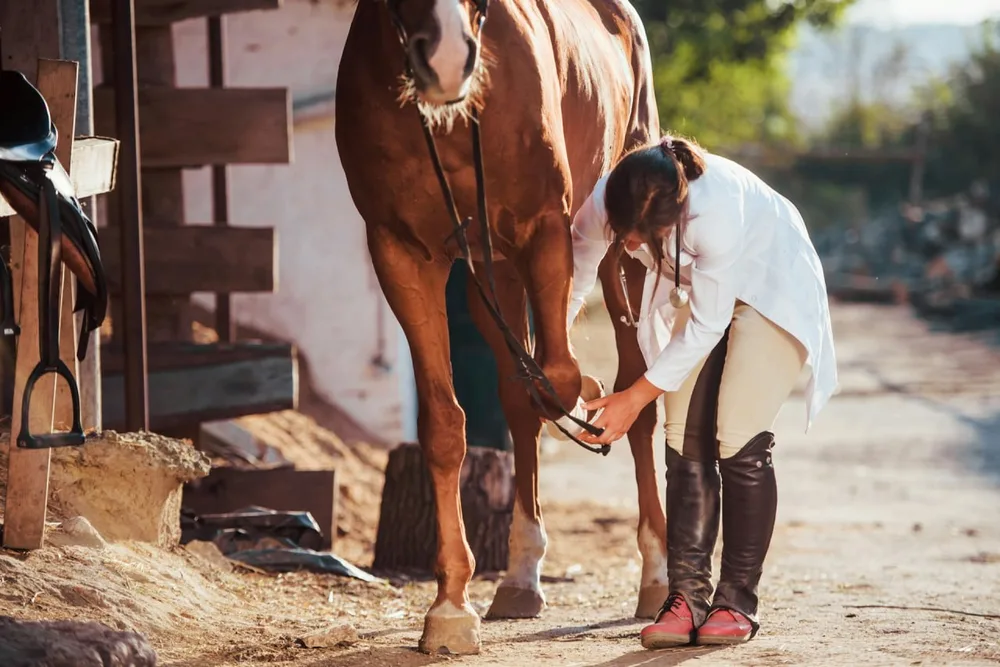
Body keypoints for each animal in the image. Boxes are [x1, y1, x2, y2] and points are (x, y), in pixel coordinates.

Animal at [336, 0, 667, 654]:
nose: (444, 57)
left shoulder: (544, 229)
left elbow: (560, 377)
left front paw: (584, 396)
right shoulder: (403, 254)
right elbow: (447, 424)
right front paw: (449, 607)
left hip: (623, 252)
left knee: (634, 395)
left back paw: (657, 573)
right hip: (494, 274)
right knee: (519, 402)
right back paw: (519, 579)